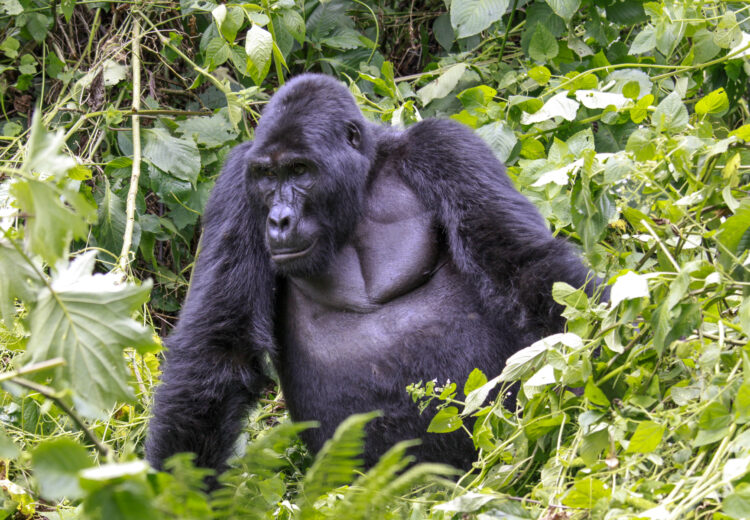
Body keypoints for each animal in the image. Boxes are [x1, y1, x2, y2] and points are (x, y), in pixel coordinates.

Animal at [145, 72, 604, 476]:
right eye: (267, 176)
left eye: (299, 171)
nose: (278, 220)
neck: (362, 181)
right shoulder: (236, 189)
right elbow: (219, 345)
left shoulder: (445, 147)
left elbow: (522, 265)